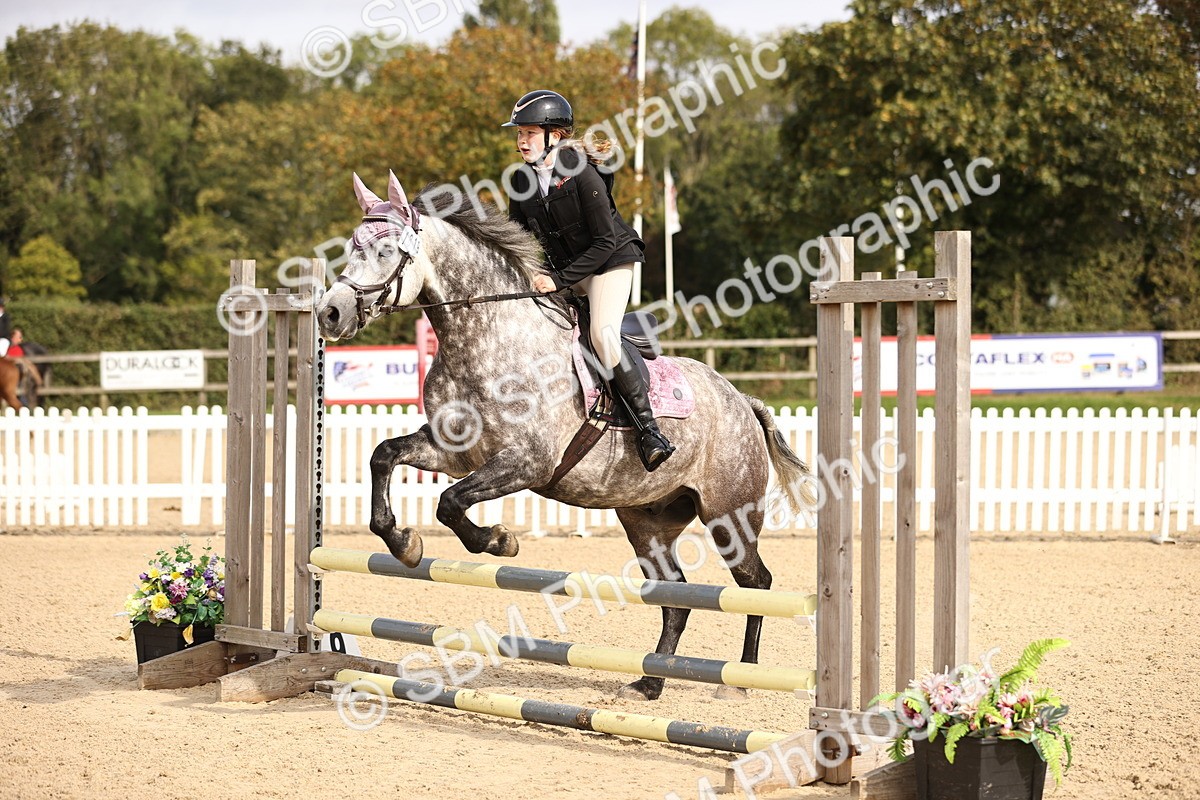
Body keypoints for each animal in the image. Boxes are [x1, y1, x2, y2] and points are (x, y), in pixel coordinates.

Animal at [315, 172, 814, 700]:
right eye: (351, 246)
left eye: (387, 250)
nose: (329, 313)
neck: (486, 337)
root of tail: (742, 401)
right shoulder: (453, 453)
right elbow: (384, 456)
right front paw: (402, 542)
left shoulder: (527, 463)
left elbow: (449, 503)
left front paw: (498, 542)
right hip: (647, 521)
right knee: (674, 595)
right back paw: (650, 683)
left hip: (729, 514)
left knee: (754, 582)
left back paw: (739, 680)